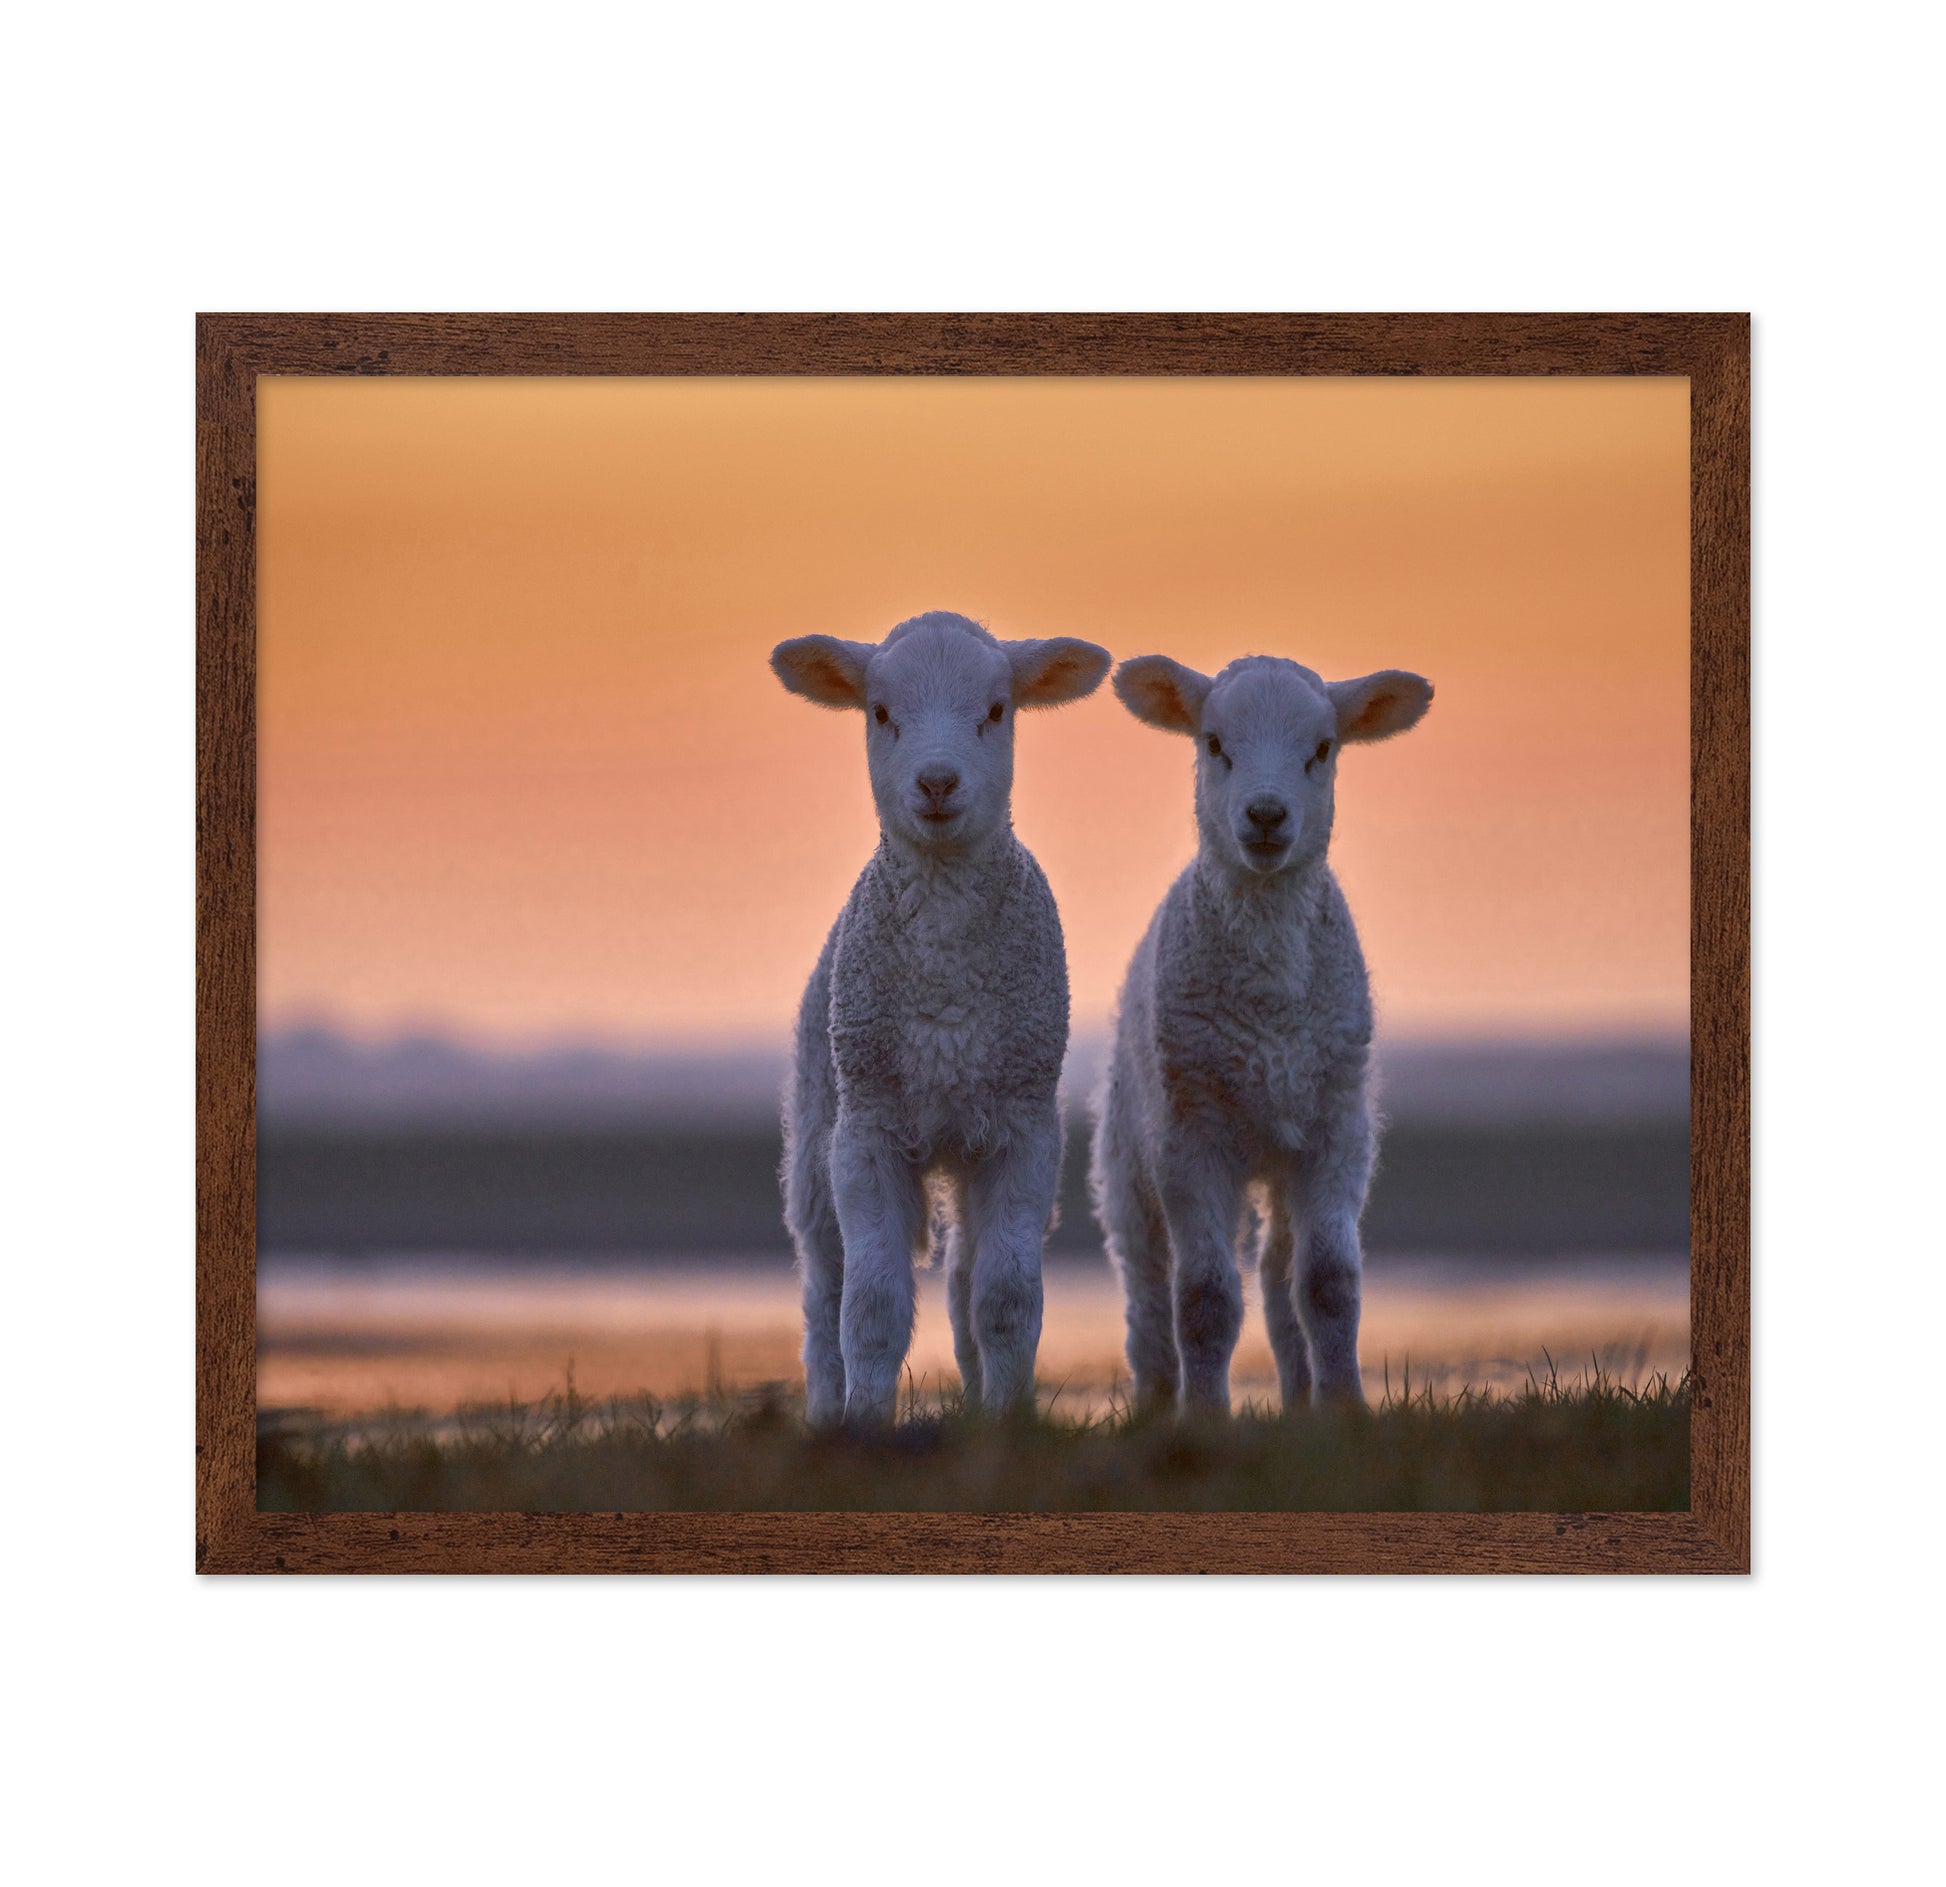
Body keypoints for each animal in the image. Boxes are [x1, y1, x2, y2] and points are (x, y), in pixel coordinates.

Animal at [771, 611, 1111, 1425]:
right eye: (880, 712)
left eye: (996, 710)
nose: (936, 781)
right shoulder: (866, 1133)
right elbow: (870, 1306)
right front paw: (865, 1423)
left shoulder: (1024, 1129)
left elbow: (1006, 1300)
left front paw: (1008, 1420)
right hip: (816, 1133)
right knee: (822, 1291)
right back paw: (825, 1409)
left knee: (962, 1282)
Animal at [1089, 652, 1433, 1415]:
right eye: (1214, 742)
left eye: (1323, 749)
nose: (1268, 815)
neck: (1270, 1006)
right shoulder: (1191, 1136)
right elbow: (1204, 1298)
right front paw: (1205, 1417)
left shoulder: (1337, 1129)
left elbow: (1328, 1285)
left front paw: (1345, 1410)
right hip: (1129, 1152)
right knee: (1146, 1287)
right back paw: (1156, 1400)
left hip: (1282, 1153)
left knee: (1279, 1277)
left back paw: (1301, 1399)